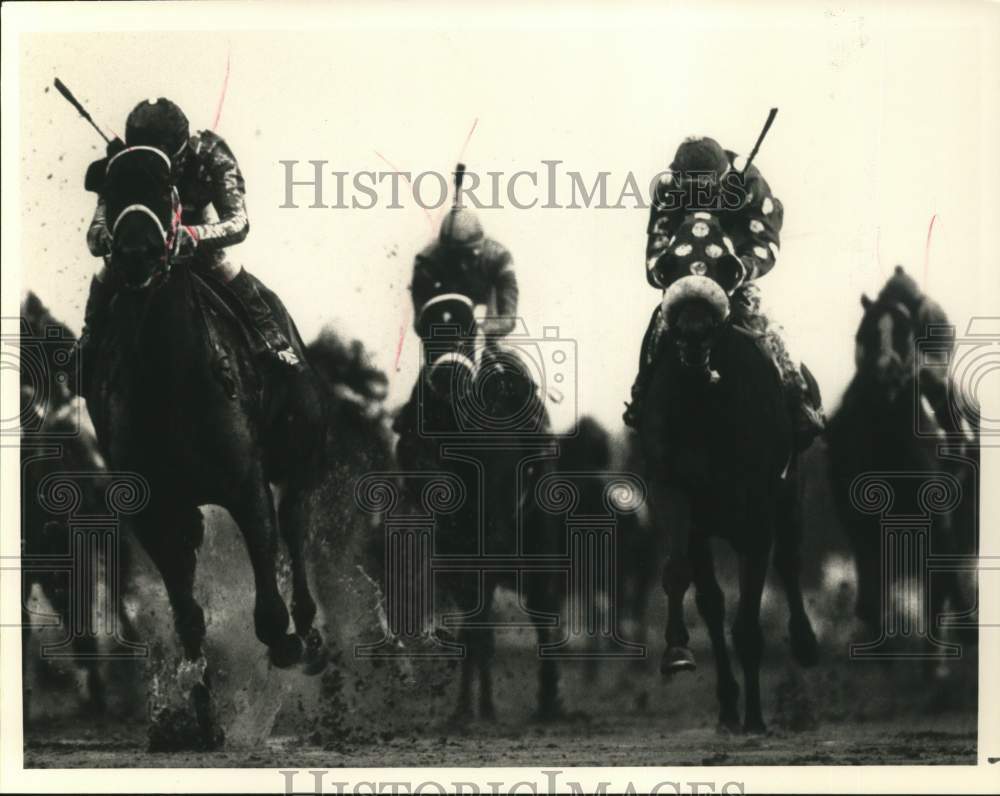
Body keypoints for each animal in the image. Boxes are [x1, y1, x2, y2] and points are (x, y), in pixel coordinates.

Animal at [83, 146, 328, 748]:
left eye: (166, 184)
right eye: (112, 189)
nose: (137, 254)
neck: (170, 377)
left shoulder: (245, 482)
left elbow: (267, 591)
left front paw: (287, 642)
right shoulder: (153, 508)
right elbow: (188, 615)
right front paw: (200, 716)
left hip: (300, 456)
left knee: (295, 529)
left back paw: (310, 638)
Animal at [392, 296, 564, 724]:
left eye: (468, 328)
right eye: (429, 332)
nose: (448, 371)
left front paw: (482, 708)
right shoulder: (455, 562)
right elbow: (474, 630)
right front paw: (467, 709)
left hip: (538, 553)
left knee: (544, 613)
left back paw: (549, 702)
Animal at [636, 211, 816, 732]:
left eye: (727, 266)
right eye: (670, 265)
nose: (695, 328)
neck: (706, 408)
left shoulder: (756, 515)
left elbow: (749, 621)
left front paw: (755, 716)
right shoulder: (677, 496)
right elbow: (688, 583)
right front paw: (679, 654)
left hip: (790, 493)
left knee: (790, 561)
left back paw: (804, 644)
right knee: (715, 605)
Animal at [828, 268, 976, 648]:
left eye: (906, 332)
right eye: (865, 332)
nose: (886, 376)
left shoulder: (937, 527)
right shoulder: (861, 529)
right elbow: (872, 608)